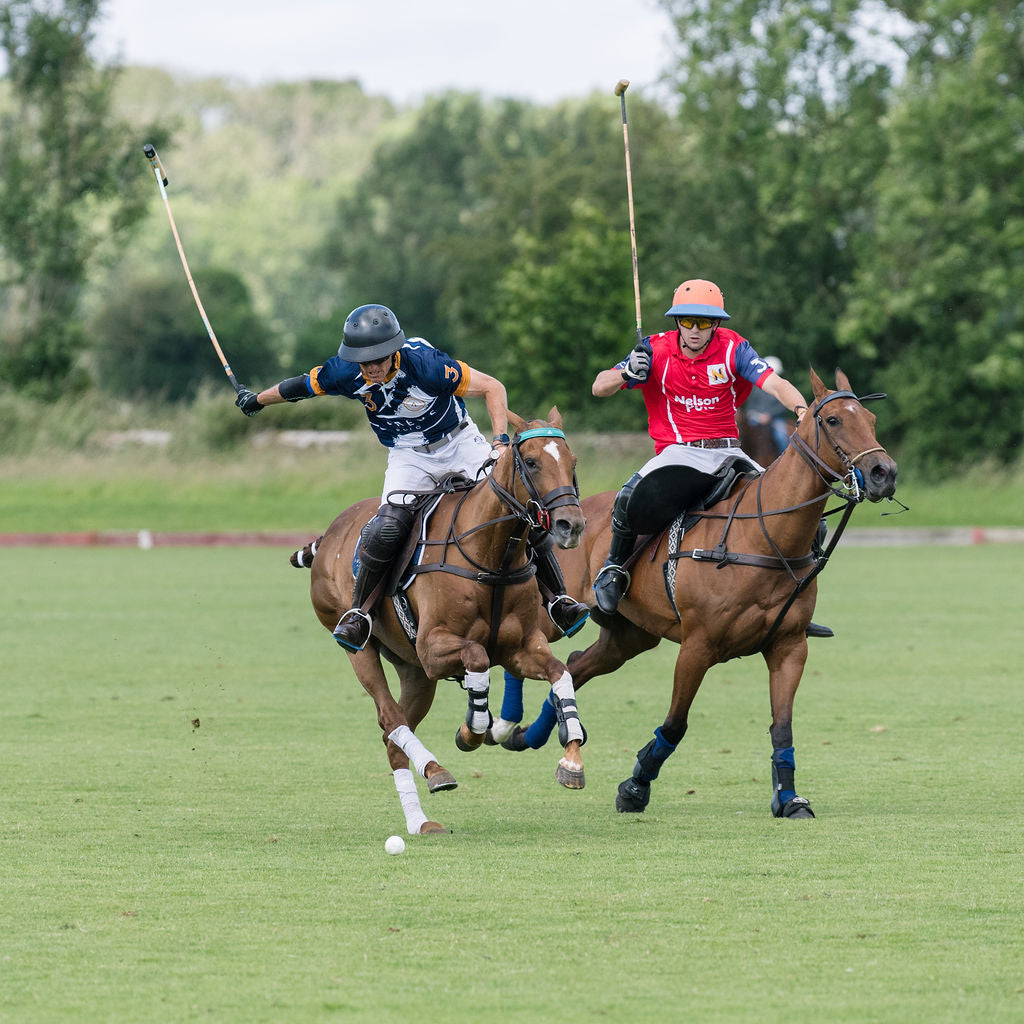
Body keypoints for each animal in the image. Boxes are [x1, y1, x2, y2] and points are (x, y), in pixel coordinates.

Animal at [307, 403, 589, 835]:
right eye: (531, 462)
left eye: (572, 461)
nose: (570, 525)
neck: (492, 555)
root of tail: (329, 534)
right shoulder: (432, 648)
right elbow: (476, 656)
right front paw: (471, 729)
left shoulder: (520, 648)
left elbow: (561, 673)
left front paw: (571, 759)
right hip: (362, 648)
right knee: (390, 717)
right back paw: (435, 770)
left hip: (414, 671)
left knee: (393, 737)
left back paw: (420, 819)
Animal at [495, 372, 897, 819]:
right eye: (832, 420)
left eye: (871, 419)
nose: (883, 472)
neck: (765, 536)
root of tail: (559, 518)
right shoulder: (698, 646)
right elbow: (675, 724)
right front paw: (635, 787)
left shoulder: (789, 646)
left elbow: (782, 725)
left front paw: (790, 798)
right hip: (556, 610)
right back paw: (504, 724)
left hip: (630, 635)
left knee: (576, 664)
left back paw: (530, 736)